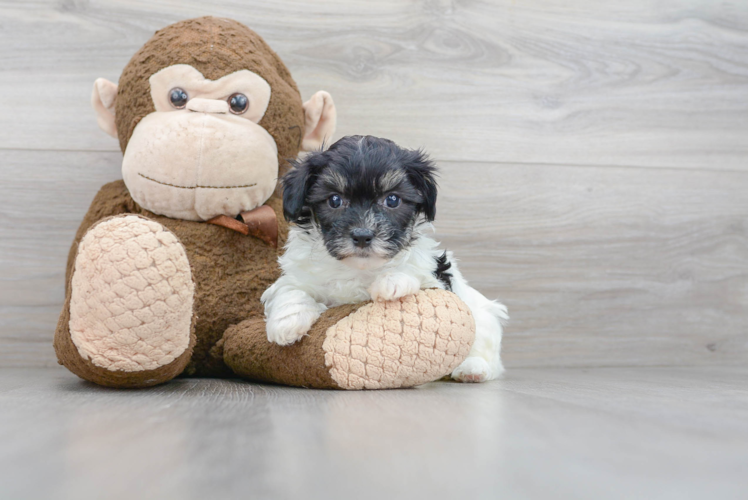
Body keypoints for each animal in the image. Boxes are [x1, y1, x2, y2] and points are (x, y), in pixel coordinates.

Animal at [262, 135, 508, 380]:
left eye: (392, 200)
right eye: (334, 200)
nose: (362, 235)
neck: (358, 268)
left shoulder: (434, 277)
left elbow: (413, 272)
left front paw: (392, 281)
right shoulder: (299, 274)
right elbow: (291, 289)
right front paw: (287, 322)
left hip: (483, 320)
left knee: (485, 352)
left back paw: (472, 369)